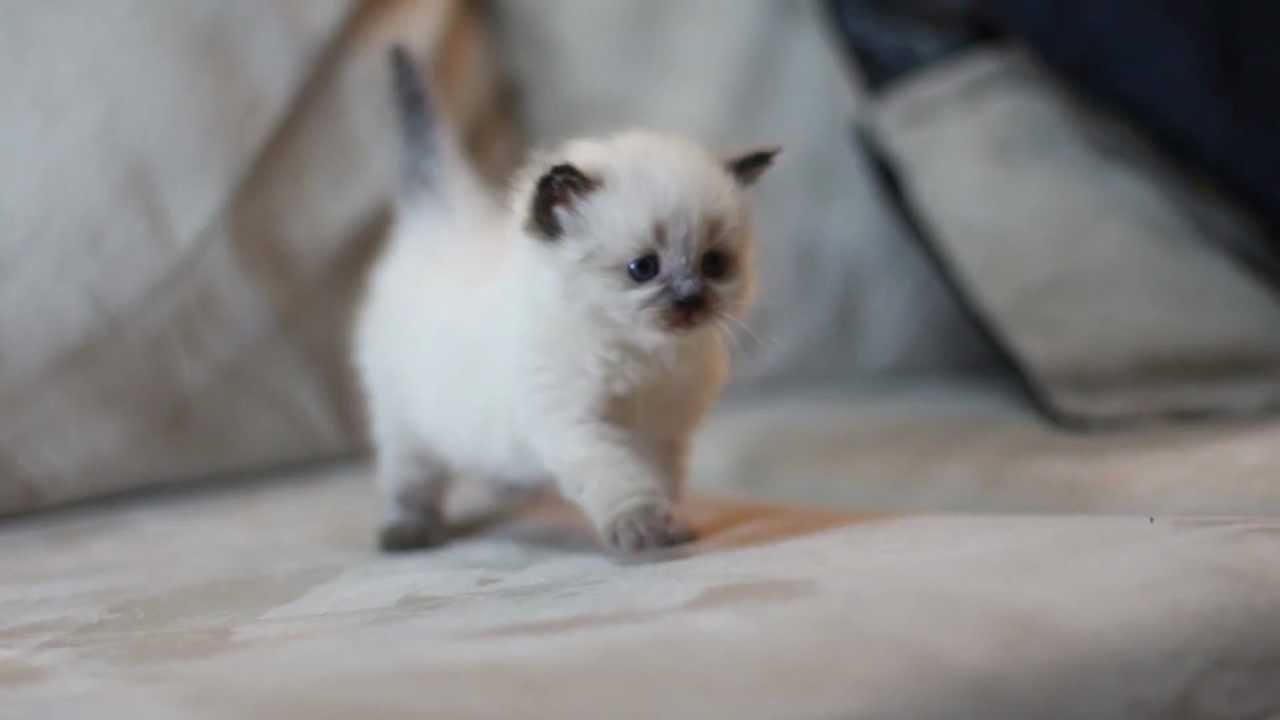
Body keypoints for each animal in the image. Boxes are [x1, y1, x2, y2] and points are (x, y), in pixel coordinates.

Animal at [355, 47, 783, 556]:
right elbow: (623, 483)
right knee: (410, 481)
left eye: (713, 264)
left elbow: (661, 483)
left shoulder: (663, 434)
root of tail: (439, 222)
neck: (644, 359)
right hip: (404, 425)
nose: (690, 299)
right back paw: (406, 533)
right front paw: (644, 531)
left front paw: (673, 526)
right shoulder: (578, 425)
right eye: (644, 268)